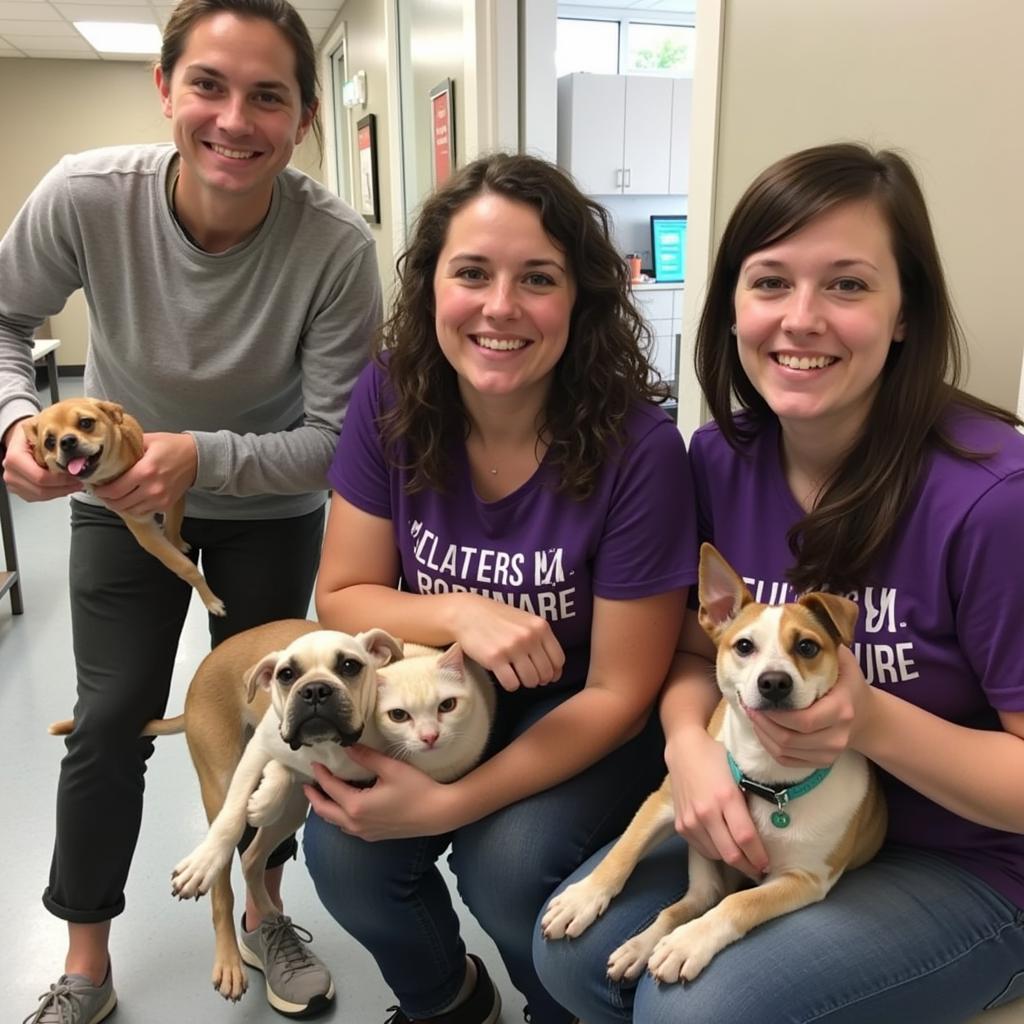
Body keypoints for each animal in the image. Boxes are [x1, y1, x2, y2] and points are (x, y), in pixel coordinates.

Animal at [20, 395, 225, 610]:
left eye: (86, 423)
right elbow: (184, 566)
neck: (112, 473)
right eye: (50, 442)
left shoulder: (175, 497)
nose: (67, 441)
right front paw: (211, 600)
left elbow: (173, 528)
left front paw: (177, 544)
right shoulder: (145, 531)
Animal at [540, 544, 884, 983]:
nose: (774, 682)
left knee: (713, 900)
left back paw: (666, 942)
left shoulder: (804, 879)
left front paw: (691, 943)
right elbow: (621, 854)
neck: (768, 780)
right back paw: (639, 945)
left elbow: (740, 905)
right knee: (691, 901)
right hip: (704, 852)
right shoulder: (664, 804)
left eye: (807, 647)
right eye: (744, 646)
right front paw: (583, 898)